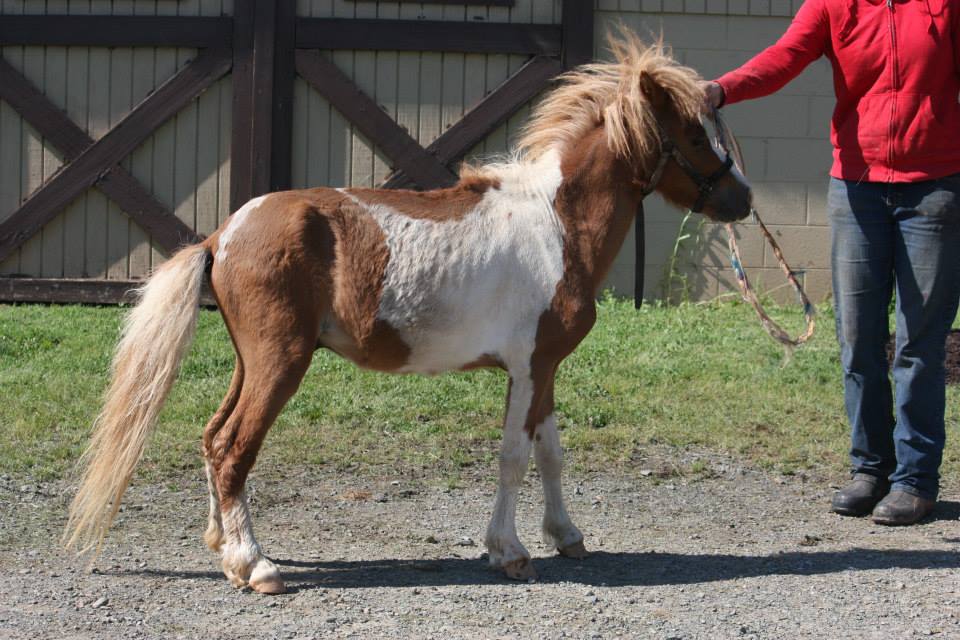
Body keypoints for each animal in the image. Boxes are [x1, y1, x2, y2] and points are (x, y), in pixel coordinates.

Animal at [64, 31, 752, 594]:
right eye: (695, 136)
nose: (741, 200)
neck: (555, 223)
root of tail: (223, 233)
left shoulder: (545, 368)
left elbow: (550, 453)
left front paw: (567, 536)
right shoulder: (527, 368)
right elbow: (513, 457)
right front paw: (509, 551)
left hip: (249, 363)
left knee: (212, 436)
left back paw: (222, 547)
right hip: (279, 363)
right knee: (235, 447)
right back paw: (255, 565)